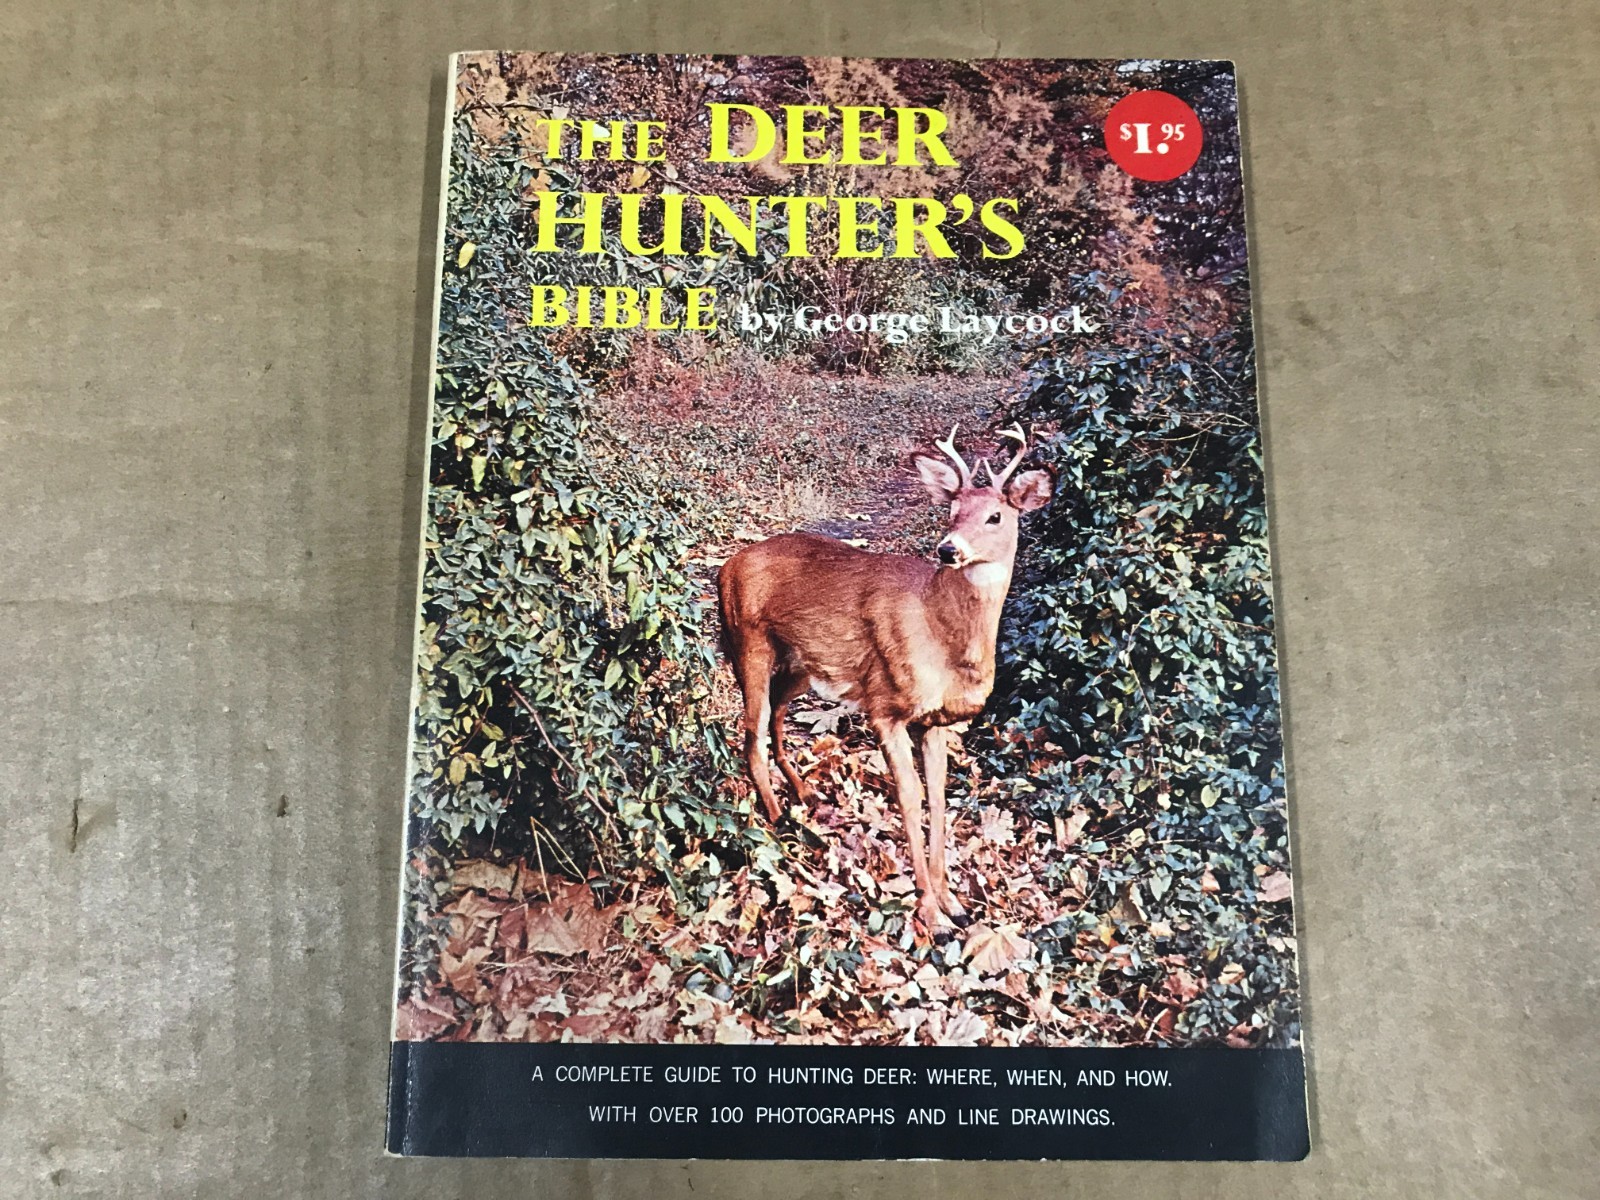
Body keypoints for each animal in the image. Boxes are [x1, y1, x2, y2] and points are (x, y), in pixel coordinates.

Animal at [717, 425, 1052, 935]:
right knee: (750, 732)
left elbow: (939, 797)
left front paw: (953, 901)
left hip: (801, 664)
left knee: (775, 718)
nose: (948, 549)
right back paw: (778, 821)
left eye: (996, 515)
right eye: (951, 510)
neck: (943, 633)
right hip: (748, 640)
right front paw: (931, 913)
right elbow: (910, 799)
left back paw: (805, 793)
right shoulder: (885, 705)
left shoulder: (934, 720)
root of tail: (726, 567)